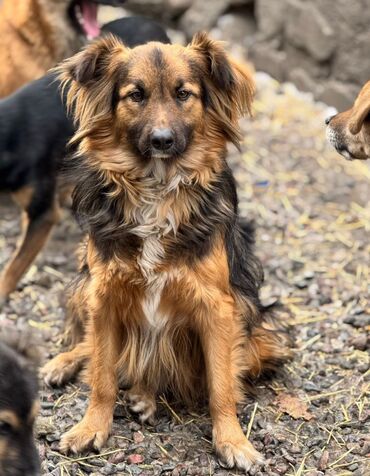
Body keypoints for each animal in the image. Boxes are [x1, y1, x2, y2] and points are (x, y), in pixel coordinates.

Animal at [41, 34, 290, 472]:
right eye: (135, 95)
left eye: (183, 94)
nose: (161, 140)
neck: (157, 189)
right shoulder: (103, 294)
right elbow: (102, 375)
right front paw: (90, 428)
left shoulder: (219, 307)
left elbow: (221, 386)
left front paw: (233, 442)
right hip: (81, 284)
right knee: (95, 348)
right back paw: (66, 362)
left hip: (263, 334)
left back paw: (144, 395)